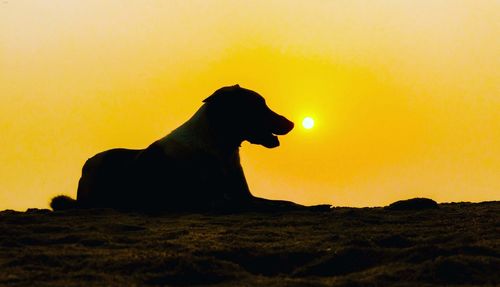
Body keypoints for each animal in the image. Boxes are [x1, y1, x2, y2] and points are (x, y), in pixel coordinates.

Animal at [50, 84, 328, 213]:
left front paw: (315, 206)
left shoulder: (243, 195)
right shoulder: (213, 200)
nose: (291, 123)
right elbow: (266, 206)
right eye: (257, 106)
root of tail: (87, 164)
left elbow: (285, 202)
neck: (219, 147)